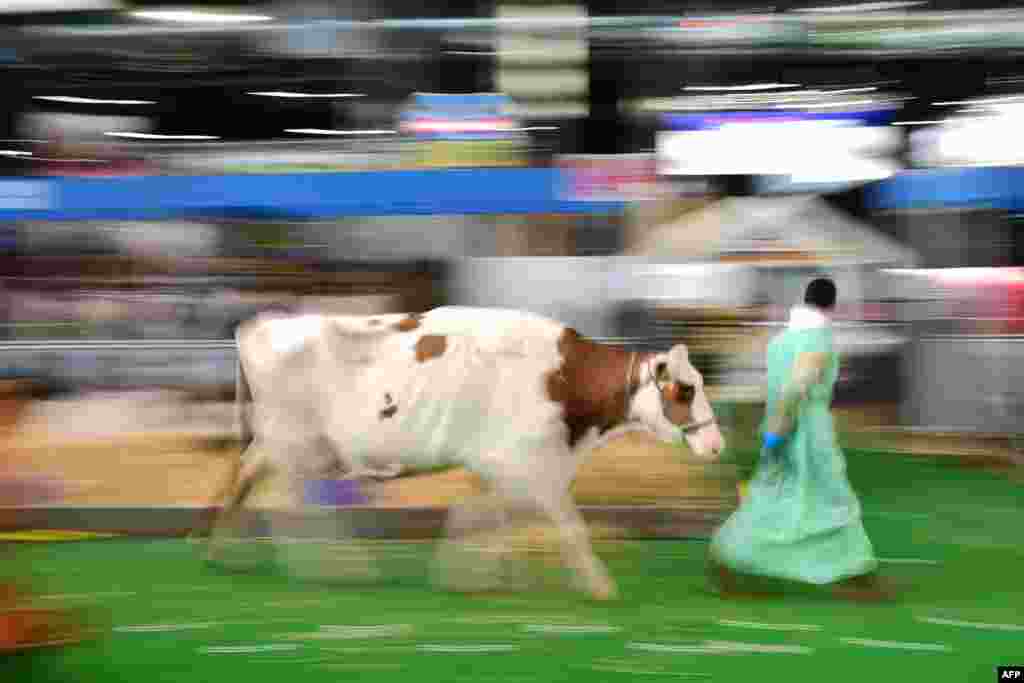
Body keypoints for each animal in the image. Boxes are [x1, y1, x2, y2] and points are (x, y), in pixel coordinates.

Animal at [203, 307, 724, 602]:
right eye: (685, 388)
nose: (717, 444)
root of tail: (259, 324)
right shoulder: (528, 463)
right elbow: (568, 525)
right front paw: (600, 586)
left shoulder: (500, 463)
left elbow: (478, 515)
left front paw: (472, 576)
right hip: (296, 441)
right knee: (288, 499)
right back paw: (338, 566)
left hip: (280, 442)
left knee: (247, 479)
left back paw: (222, 551)